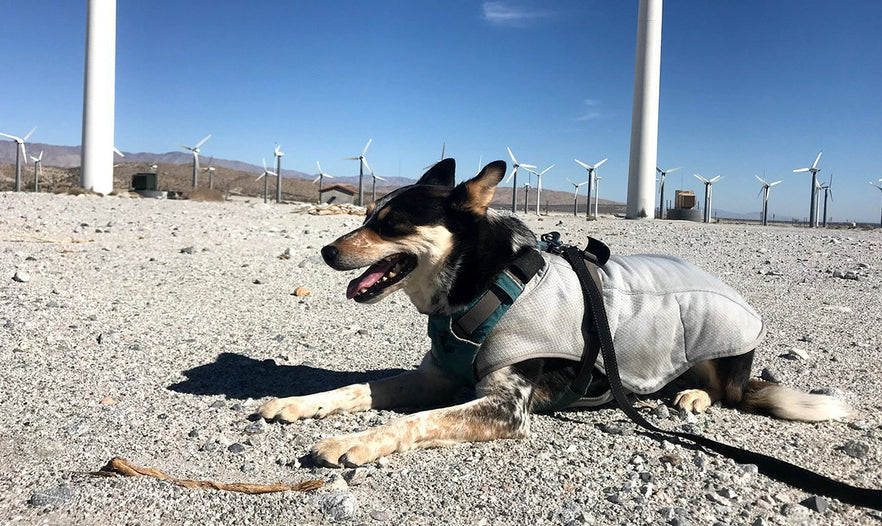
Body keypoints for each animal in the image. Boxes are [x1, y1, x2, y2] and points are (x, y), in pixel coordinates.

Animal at [258, 159, 848, 468]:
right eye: (365, 216)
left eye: (393, 224)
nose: (326, 251)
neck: (481, 284)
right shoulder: (434, 378)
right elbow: (357, 388)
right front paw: (297, 403)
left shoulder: (504, 409)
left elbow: (414, 420)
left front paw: (353, 441)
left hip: (722, 359)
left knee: (731, 393)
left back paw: (694, 397)